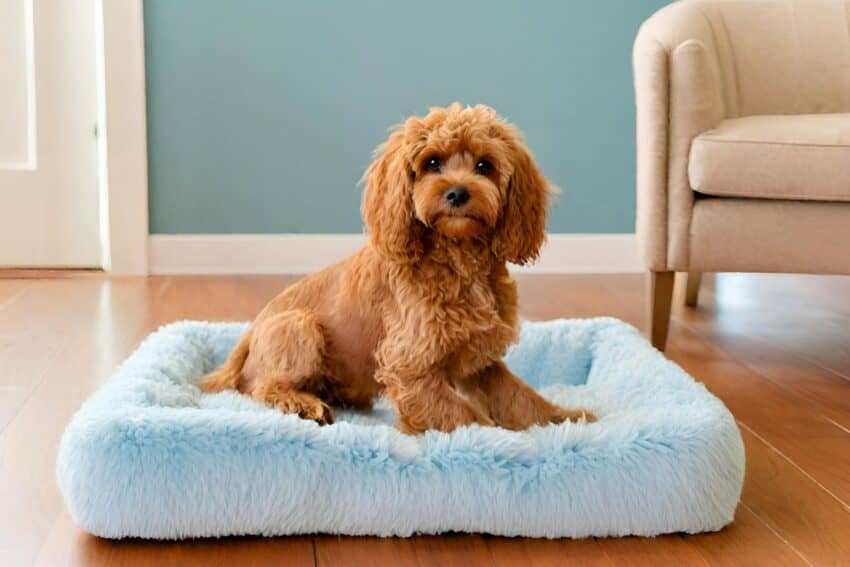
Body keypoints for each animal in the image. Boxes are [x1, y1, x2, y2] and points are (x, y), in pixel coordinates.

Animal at [200, 102, 596, 432]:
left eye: (485, 165)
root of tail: (250, 333)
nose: (457, 193)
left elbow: (520, 399)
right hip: (300, 325)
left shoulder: (481, 364)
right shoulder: (409, 367)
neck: (458, 261)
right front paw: (503, 440)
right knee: (260, 387)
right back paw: (304, 404)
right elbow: (466, 417)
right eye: (432, 163)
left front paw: (564, 419)